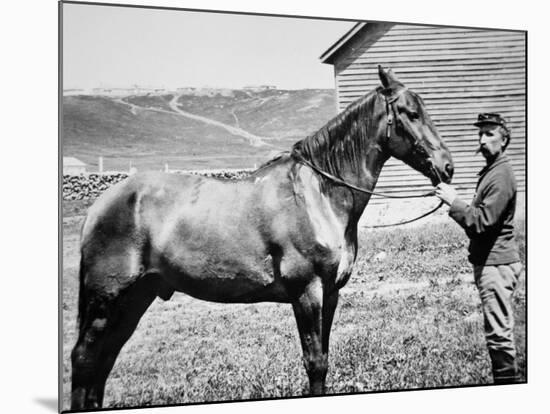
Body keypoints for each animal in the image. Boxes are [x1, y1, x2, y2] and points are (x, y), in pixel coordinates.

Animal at [71, 66, 454, 410]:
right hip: (107, 300)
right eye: (411, 113)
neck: (317, 195)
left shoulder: (330, 294)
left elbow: (324, 357)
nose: (447, 167)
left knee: (104, 361)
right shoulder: (307, 292)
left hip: (135, 298)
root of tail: (101, 204)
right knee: (84, 359)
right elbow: (315, 363)